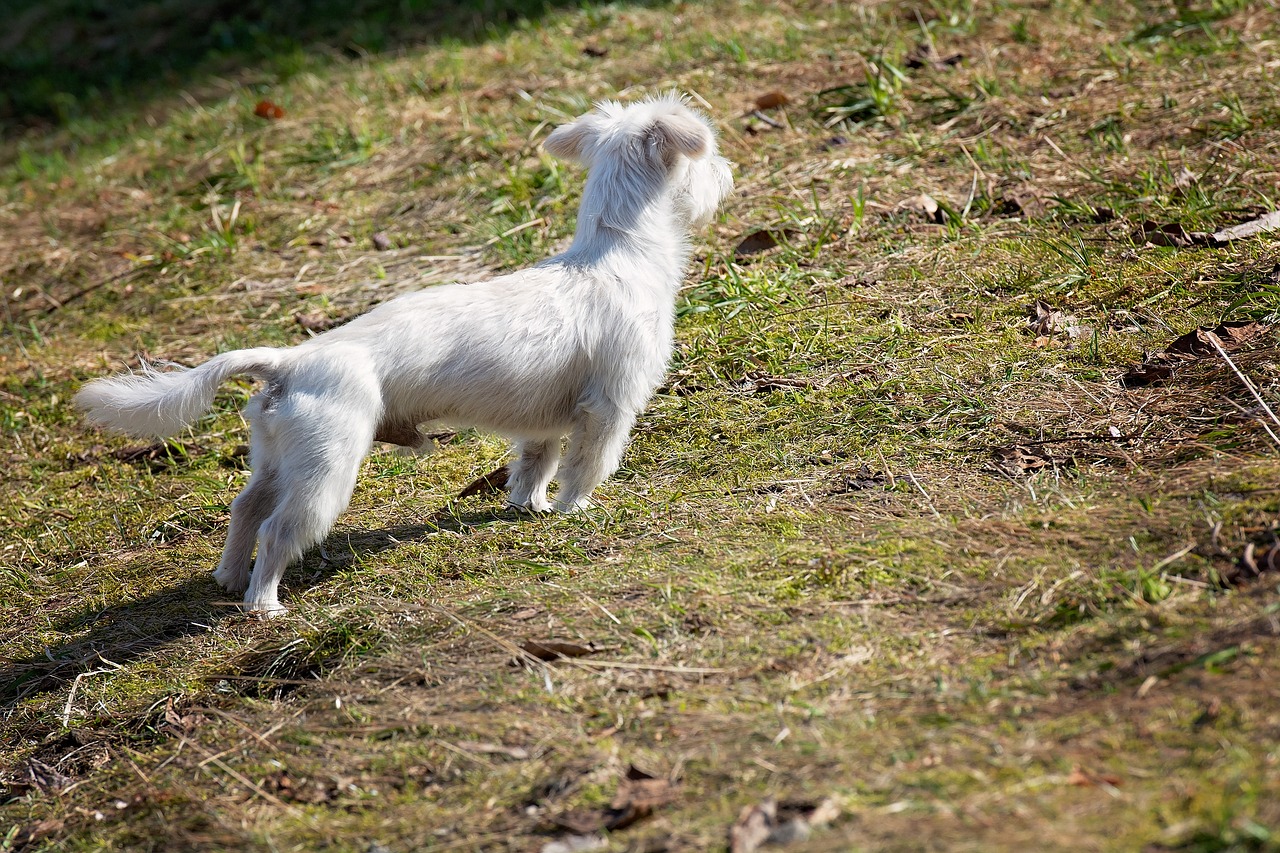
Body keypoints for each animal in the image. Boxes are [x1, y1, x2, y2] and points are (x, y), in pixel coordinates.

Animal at [74, 91, 737, 612]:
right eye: (708, 157)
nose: (728, 171)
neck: (618, 252)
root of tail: (288, 360)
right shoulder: (608, 407)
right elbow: (586, 466)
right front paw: (575, 512)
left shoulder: (545, 422)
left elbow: (534, 467)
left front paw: (532, 509)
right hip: (325, 470)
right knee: (277, 531)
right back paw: (264, 603)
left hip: (276, 458)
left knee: (244, 510)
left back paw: (229, 578)